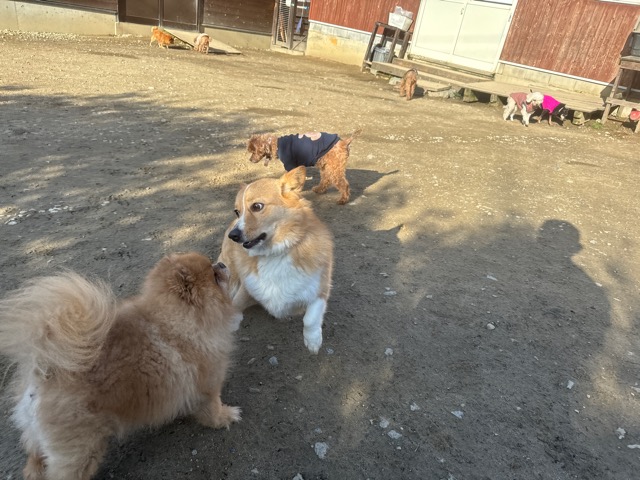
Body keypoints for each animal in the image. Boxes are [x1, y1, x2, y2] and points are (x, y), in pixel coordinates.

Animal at [0, 253, 241, 480]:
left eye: (214, 266)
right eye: (214, 275)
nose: (221, 264)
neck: (179, 321)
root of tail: (45, 375)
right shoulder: (209, 386)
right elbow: (212, 409)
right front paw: (225, 417)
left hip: (37, 434)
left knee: (34, 455)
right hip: (83, 449)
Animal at [218, 166, 334, 354]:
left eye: (257, 206)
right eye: (237, 211)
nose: (233, 236)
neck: (275, 253)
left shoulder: (320, 290)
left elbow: (310, 318)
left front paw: (313, 341)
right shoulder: (247, 288)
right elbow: (235, 307)